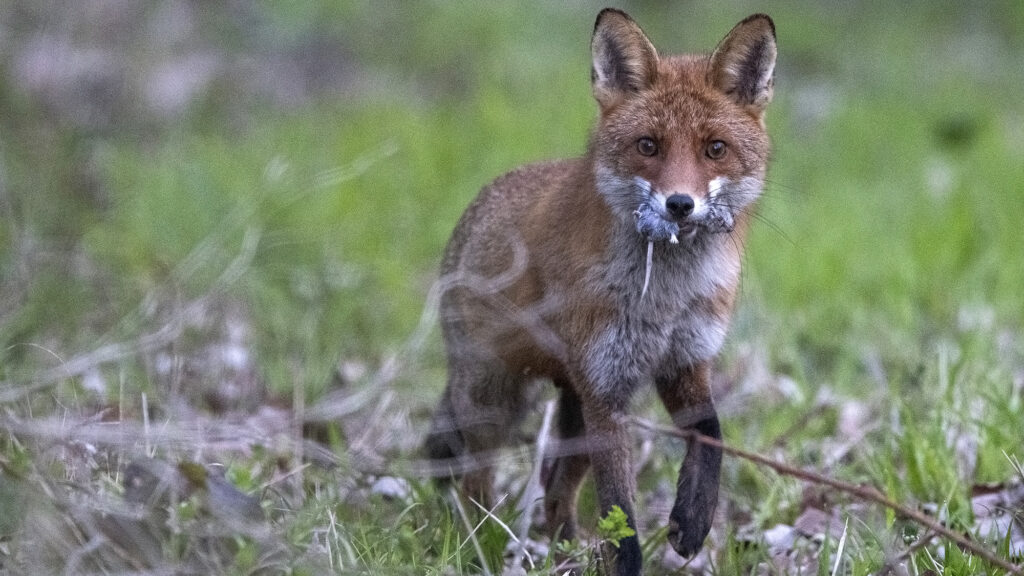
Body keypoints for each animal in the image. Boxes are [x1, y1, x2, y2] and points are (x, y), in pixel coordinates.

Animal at [425, 8, 776, 575]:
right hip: (495, 398)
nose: (680, 205)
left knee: (555, 491)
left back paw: (564, 546)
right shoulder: (607, 388)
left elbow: (712, 436)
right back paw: (484, 547)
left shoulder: (683, 363)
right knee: (474, 481)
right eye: (648, 146)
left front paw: (692, 520)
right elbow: (620, 510)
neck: (666, 300)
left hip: (571, 406)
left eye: (715, 149)